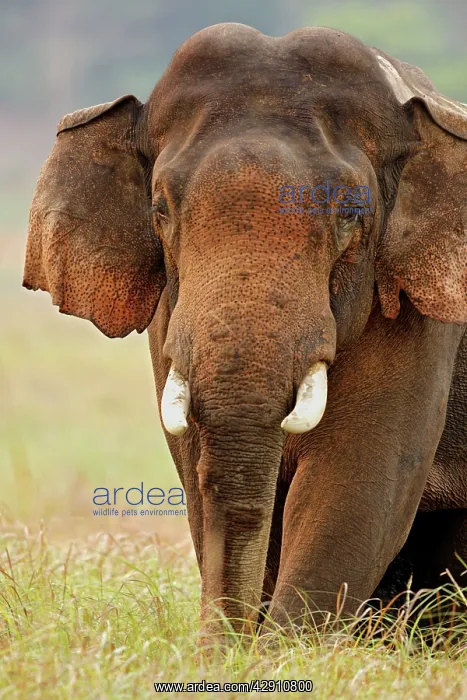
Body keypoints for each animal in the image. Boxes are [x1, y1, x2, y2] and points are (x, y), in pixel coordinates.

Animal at [23, 24, 467, 637]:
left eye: (352, 215)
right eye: (160, 210)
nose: (226, 640)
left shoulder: (419, 315)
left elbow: (356, 479)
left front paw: (282, 650)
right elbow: (197, 469)